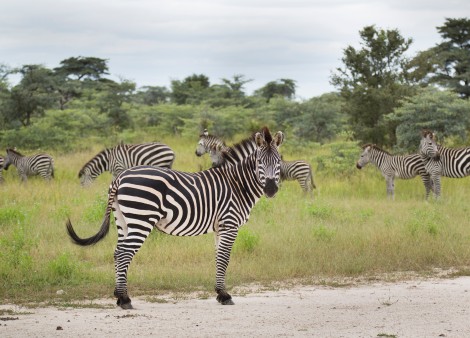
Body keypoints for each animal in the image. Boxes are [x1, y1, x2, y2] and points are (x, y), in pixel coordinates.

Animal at [66, 127, 284, 308]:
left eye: (279, 162)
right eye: (260, 163)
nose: (271, 190)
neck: (236, 183)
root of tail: (120, 178)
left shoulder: (220, 227)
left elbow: (218, 257)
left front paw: (219, 292)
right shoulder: (229, 224)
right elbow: (224, 258)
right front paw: (224, 295)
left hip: (123, 220)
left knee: (117, 252)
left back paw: (119, 296)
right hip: (141, 219)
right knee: (124, 253)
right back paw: (125, 299)